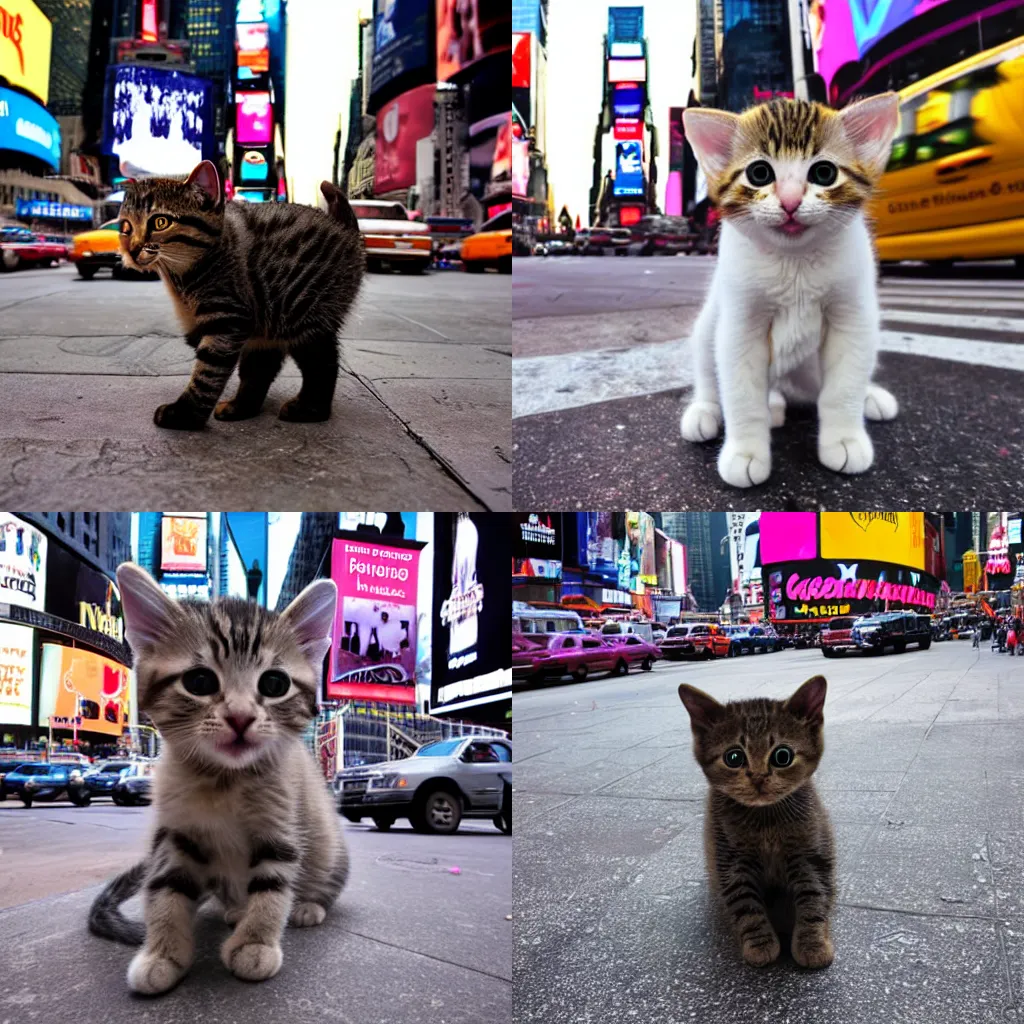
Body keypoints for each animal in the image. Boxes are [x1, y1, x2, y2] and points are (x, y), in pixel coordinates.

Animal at [89, 565, 344, 995]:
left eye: (274, 684)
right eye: (200, 681)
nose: (240, 717)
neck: (224, 780)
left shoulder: (281, 825)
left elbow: (272, 889)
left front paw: (256, 943)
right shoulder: (175, 832)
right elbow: (165, 889)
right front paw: (162, 953)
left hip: (329, 845)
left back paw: (308, 905)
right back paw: (235, 910)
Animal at [119, 162, 364, 432]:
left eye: (160, 222)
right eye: (125, 227)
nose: (131, 250)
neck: (182, 276)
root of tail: (345, 228)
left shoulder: (227, 320)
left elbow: (207, 373)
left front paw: (186, 416)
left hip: (305, 315)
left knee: (323, 365)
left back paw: (311, 409)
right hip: (269, 324)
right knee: (261, 368)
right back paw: (241, 407)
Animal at [675, 675, 835, 970]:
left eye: (782, 756)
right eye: (734, 757)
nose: (759, 778)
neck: (765, 821)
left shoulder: (812, 849)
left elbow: (814, 895)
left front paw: (813, 943)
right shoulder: (729, 857)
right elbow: (744, 903)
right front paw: (759, 944)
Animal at [684, 97, 901, 489]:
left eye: (824, 173)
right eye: (759, 173)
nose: (789, 201)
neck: (795, 260)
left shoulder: (853, 316)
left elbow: (845, 383)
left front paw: (845, 438)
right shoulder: (740, 320)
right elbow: (740, 391)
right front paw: (745, 452)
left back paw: (869, 396)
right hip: (709, 322)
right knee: (709, 366)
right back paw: (707, 410)